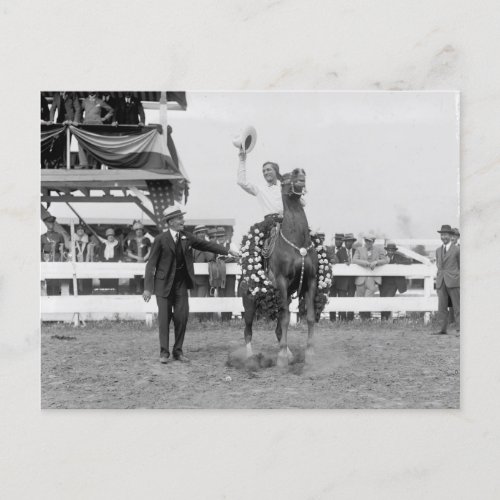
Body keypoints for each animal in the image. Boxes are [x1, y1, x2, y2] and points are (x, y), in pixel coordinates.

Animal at [241, 168, 318, 368]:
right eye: (285, 176)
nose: (300, 172)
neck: (297, 244)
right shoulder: (282, 282)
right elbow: (285, 319)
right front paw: (281, 357)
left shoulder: (310, 281)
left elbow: (310, 317)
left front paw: (310, 353)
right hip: (249, 302)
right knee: (248, 330)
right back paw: (251, 358)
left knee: (277, 328)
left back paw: (290, 354)